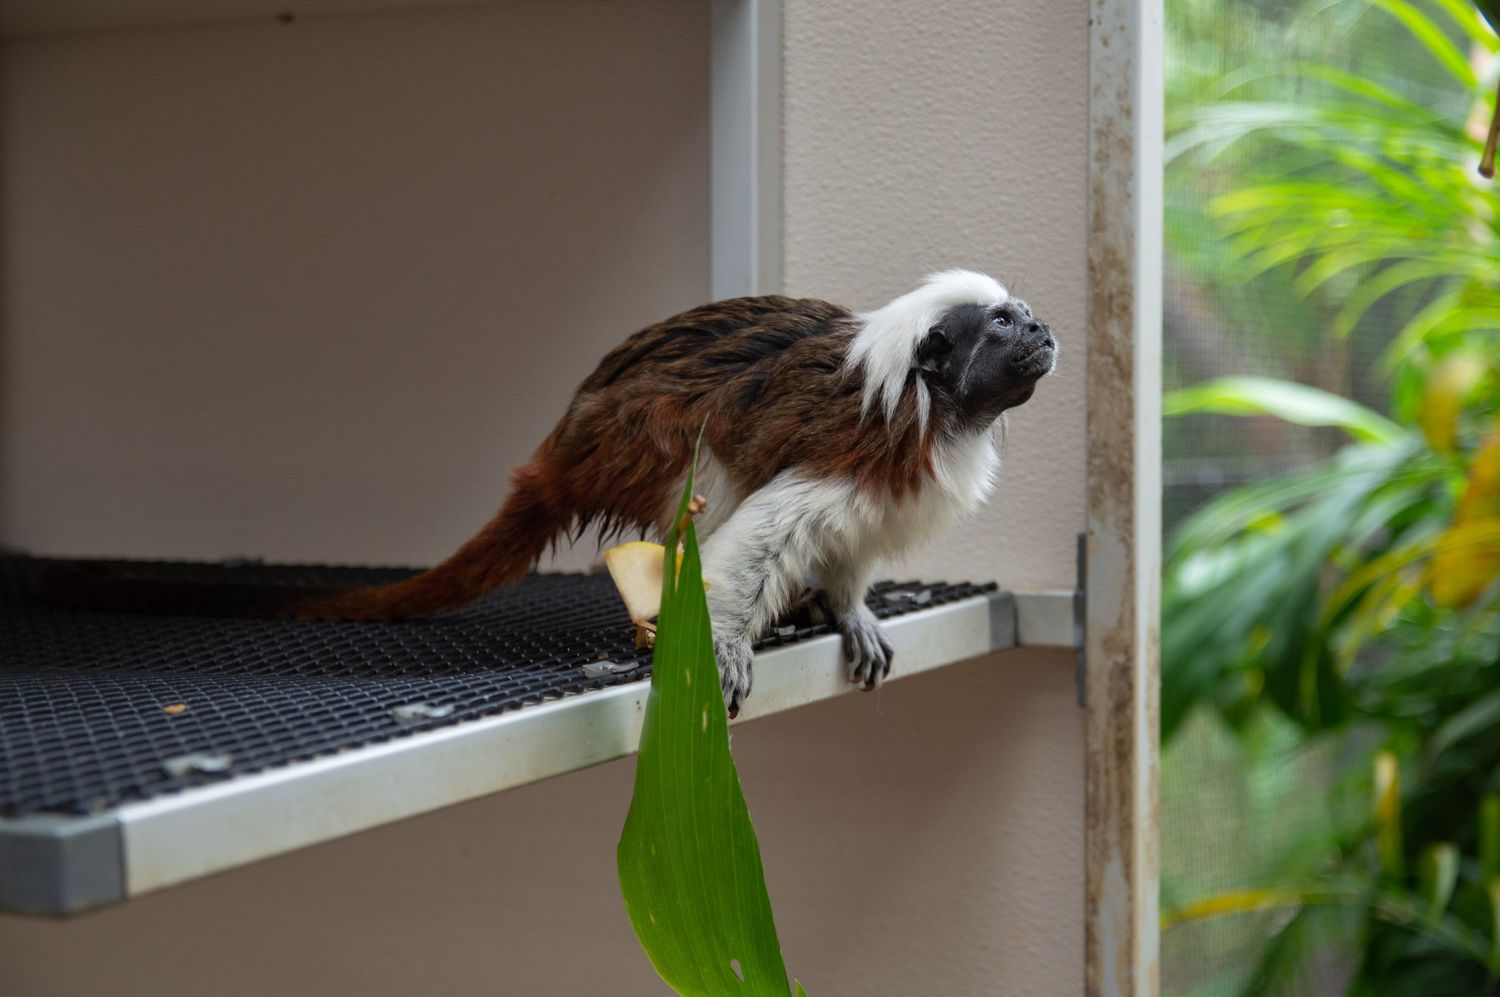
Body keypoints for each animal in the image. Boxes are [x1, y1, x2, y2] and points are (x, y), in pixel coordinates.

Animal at [36, 269, 1057, 716]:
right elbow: (764, 529)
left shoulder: (880, 493)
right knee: (703, 473)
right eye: (1005, 325)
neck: (935, 409)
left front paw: (846, 611)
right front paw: (720, 644)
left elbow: (847, 555)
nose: (1046, 330)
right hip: (634, 437)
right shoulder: (846, 453)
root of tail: (563, 441)